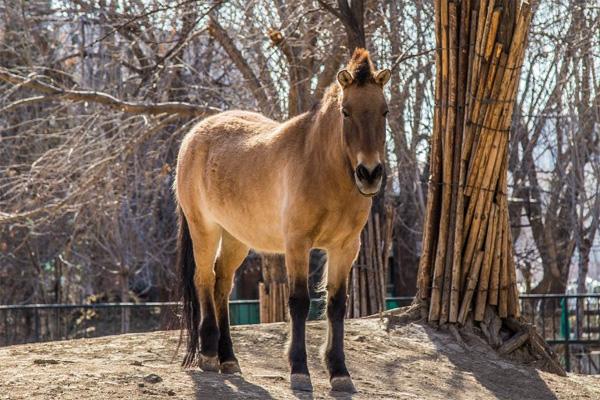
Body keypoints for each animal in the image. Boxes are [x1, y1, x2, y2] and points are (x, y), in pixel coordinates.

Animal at [175, 48, 390, 392]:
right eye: (346, 112)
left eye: (384, 111)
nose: (369, 174)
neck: (322, 168)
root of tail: (194, 136)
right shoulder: (297, 245)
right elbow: (299, 302)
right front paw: (300, 372)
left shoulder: (345, 248)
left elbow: (336, 305)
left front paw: (339, 373)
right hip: (204, 229)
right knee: (204, 279)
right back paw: (208, 355)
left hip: (236, 238)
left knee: (222, 284)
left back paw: (229, 360)